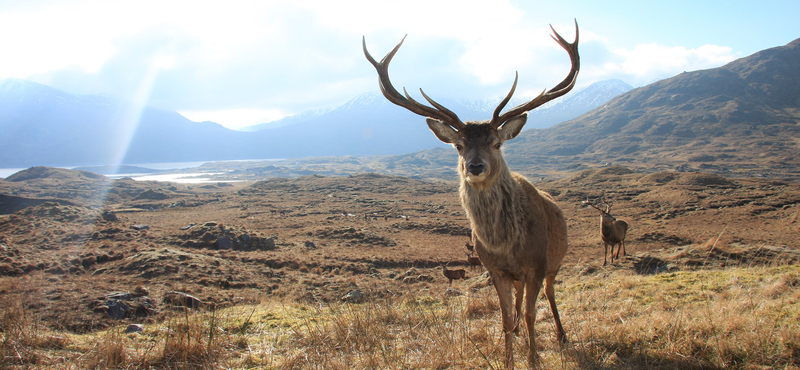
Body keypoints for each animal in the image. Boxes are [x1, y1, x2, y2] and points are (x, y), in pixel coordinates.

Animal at [364, 20, 580, 368]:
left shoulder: (537, 263)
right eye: (459, 145)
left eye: (496, 142)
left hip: (555, 263)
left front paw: (534, 358)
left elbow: (533, 315)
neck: (506, 245)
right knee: (520, 301)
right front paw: (508, 358)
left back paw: (561, 335)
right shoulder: (495, 269)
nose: (475, 166)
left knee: (549, 294)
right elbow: (505, 319)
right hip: (520, 276)